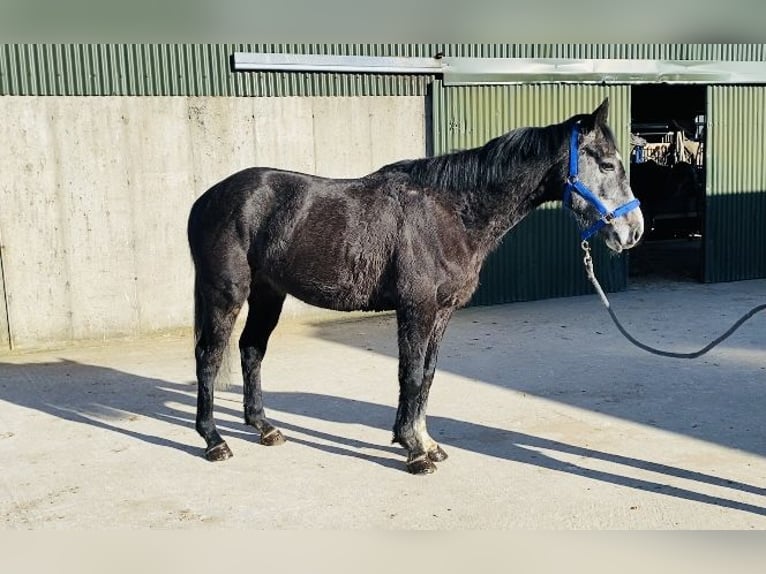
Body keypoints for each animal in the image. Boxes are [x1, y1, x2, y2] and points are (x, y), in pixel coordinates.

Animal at [188, 98, 648, 476]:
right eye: (608, 165)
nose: (634, 231)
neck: (451, 212)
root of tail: (207, 198)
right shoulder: (417, 308)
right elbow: (409, 375)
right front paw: (413, 451)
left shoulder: (442, 312)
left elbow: (426, 375)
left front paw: (426, 442)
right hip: (226, 294)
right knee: (209, 357)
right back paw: (214, 440)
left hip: (269, 294)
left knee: (251, 350)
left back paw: (264, 428)